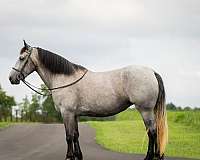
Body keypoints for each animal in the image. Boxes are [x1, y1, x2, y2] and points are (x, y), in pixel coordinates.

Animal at [9, 41, 169, 160]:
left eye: (21, 58)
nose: (11, 78)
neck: (64, 78)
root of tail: (152, 72)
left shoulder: (66, 113)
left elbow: (68, 136)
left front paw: (69, 157)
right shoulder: (74, 115)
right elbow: (75, 135)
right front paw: (78, 156)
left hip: (145, 110)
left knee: (152, 132)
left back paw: (149, 157)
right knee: (155, 131)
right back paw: (157, 156)